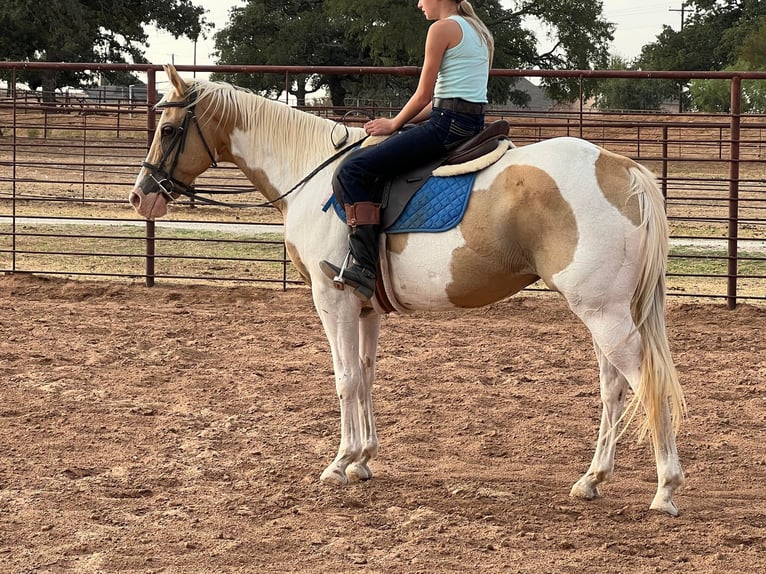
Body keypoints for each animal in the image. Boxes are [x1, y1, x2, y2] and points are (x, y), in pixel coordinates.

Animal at [129, 66, 688, 516]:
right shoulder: (364, 307)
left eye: (169, 129)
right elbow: (366, 376)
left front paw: (338, 463)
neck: (314, 177)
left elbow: (344, 380)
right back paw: (592, 479)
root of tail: (621, 167)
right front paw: (362, 460)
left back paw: (665, 489)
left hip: (603, 312)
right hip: (603, 313)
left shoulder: (332, 301)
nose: (141, 195)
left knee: (645, 382)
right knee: (614, 388)